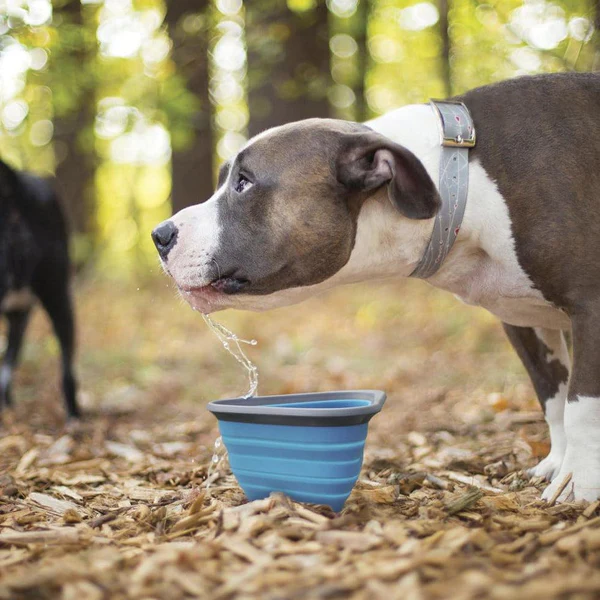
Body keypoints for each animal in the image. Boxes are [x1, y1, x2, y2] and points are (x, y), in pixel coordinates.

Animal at [154, 72, 600, 504]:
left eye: (244, 183)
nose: (160, 234)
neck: (462, 182)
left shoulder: (590, 308)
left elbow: (581, 408)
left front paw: (577, 484)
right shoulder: (523, 321)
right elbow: (553, 398)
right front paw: (558, 465)